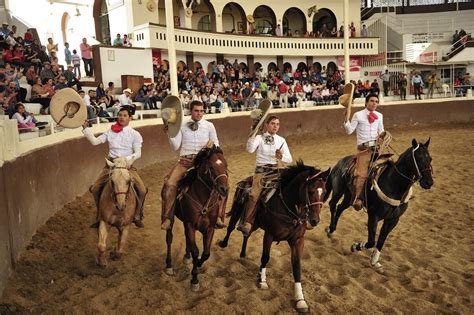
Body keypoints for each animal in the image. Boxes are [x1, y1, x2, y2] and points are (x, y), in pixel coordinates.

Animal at [164, 145, 229, 292]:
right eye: (211, 167)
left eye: (226, 165)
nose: (224, 189)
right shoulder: (190, 224)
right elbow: (196, 251)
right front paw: (194, 279)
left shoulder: (209, 228)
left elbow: (206, 253)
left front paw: (198, 264)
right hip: (171, 219)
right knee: (169, 239)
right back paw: (169, 266)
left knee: (187, 238)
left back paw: (186, 257)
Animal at [218, 163, 330, 314]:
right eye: (311, 191)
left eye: (324, 192)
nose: (315, 220)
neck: (288, 209)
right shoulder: (269, 235)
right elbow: (265, 257)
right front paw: (262, 281)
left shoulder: (298, 240)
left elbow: (296, 266)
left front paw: (300, 300)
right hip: (237, 210)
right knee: (231, 227)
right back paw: (224, 243)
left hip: (255, 223)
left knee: (247, 234)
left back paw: (243, 254)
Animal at [326, 139, 434, 272]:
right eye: (418, 158)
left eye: (430, 158)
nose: (428, 182)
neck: (393, 184)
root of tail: (339, 162)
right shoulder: (374, 216)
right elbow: (371, 241)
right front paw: (355, 246)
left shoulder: (393, 219)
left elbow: (382, 239)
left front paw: (374, 261)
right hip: (338, 190)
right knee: (332, 205)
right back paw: (330, 230)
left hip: (349, 196)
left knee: (340, 208)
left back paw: (332, 230)